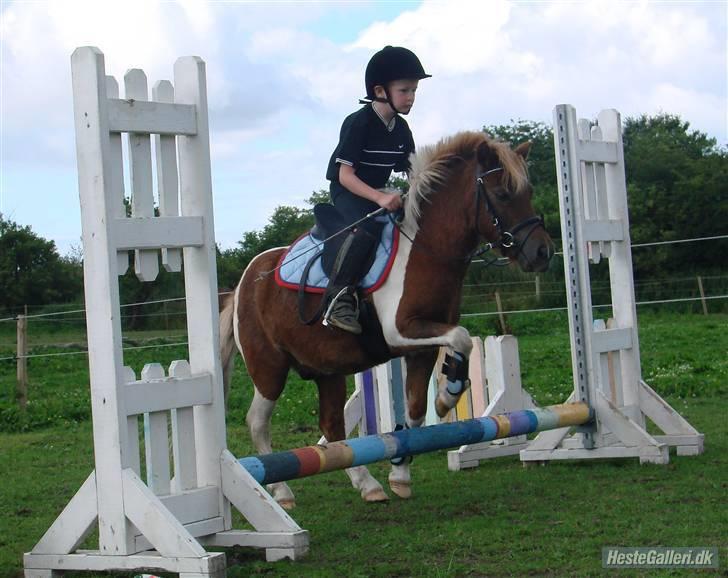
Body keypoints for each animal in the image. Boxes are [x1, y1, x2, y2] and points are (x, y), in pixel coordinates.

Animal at [219, 132, 556, 508]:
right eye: (502, 194)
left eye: (528, 192)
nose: (542, 253)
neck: (425, 250)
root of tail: (245, 283)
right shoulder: (401, 333)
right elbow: (461, 337)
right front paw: (447, 396)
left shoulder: (422, 347)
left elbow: (417, 409)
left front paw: (401, 471)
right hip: (269, 368)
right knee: (258, 422)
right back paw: (281, 491)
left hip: (326, 371)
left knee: (332, 426)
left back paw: (368, 484)